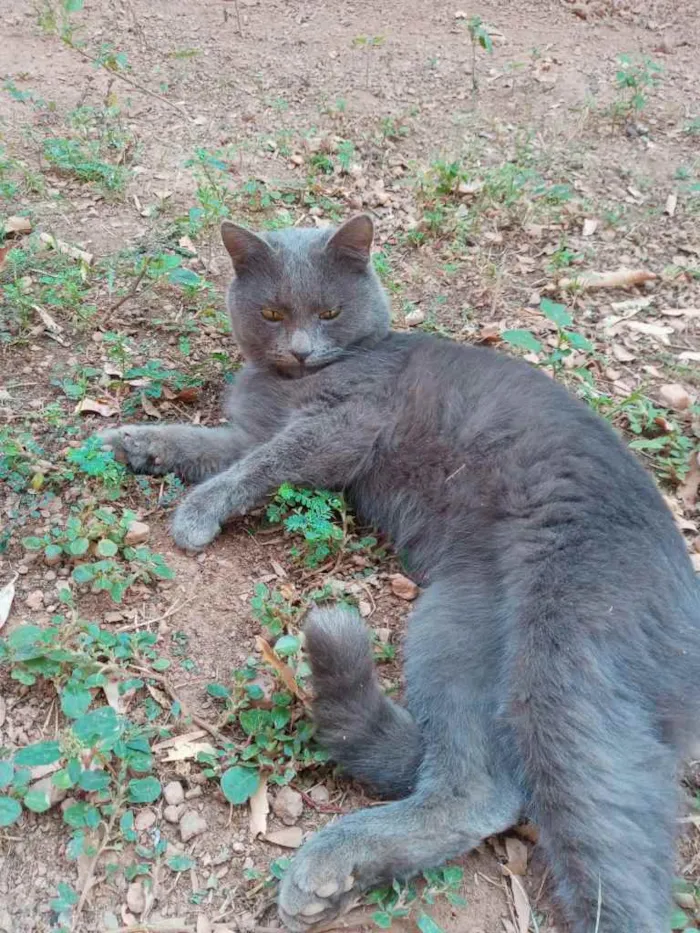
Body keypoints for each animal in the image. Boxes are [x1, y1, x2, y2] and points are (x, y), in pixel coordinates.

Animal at [101, 215, 700, 928]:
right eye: (273, 313)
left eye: (329, 312)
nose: (300, 351)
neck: (287, 384)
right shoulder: (249, 431)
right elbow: (206, 446)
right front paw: (133, 441)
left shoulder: (338, 429)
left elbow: (256, 466)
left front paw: (194, 513)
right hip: (456, 626)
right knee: (482, 791)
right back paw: (340, 871)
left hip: (568, 653)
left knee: (599, 841)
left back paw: (327, 864)